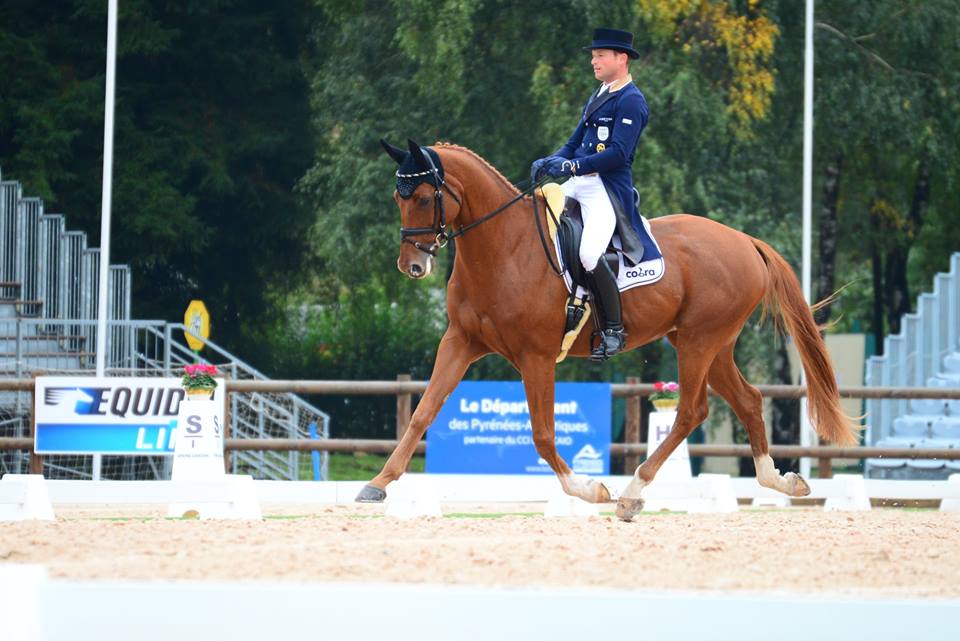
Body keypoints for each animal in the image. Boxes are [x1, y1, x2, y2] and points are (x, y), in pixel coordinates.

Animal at [354, 140, 856, 520]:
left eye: (423, 197)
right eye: (398, 198)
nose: (412, 266)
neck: (503, 247)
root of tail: (745, 241)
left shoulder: (536, 356)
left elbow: (543, 433)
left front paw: (587, 489)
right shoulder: (460, 341)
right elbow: (423, 412)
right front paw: (378, 484)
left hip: (700, 341)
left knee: (690, 411)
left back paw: (632, 493)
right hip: (710, 343)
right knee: (748, 400)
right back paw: (780, 481)